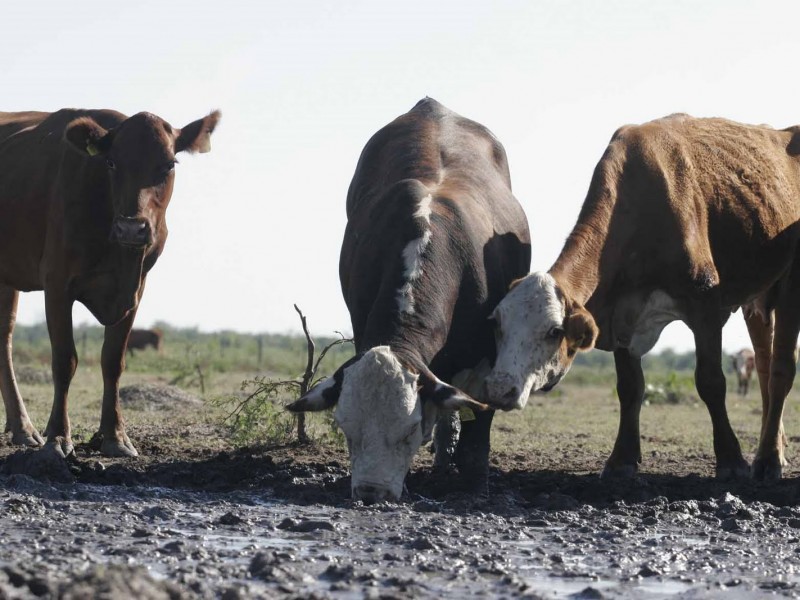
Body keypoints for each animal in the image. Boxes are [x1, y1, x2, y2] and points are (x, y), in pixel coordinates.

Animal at [0, 108, 219, 458]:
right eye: (112, 162)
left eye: (169, 164)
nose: (132, 228)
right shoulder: (57, 282)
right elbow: (65, 360)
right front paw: (58, 437)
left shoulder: (135, 289)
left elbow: (113, 360)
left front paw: (115, 436)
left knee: (4, 336)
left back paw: (22, 428)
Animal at [288, 97, 532, 502]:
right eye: (347, 430)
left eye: (410, 431)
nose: (371, 492)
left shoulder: (487, 358)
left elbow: (476, 433)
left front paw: (474, 485)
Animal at [484, 112, 800, 480]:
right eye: (497, 325)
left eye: (553, 331)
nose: (498, 389)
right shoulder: (621, 312)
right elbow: (630, 387)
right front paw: (621, 459)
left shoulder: (705, 307)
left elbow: (711, 382)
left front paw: (731, 459)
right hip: (757, 299)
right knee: (763, 367)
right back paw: (775, 449)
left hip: (790, 286)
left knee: (780, 370)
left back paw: (768, 460)